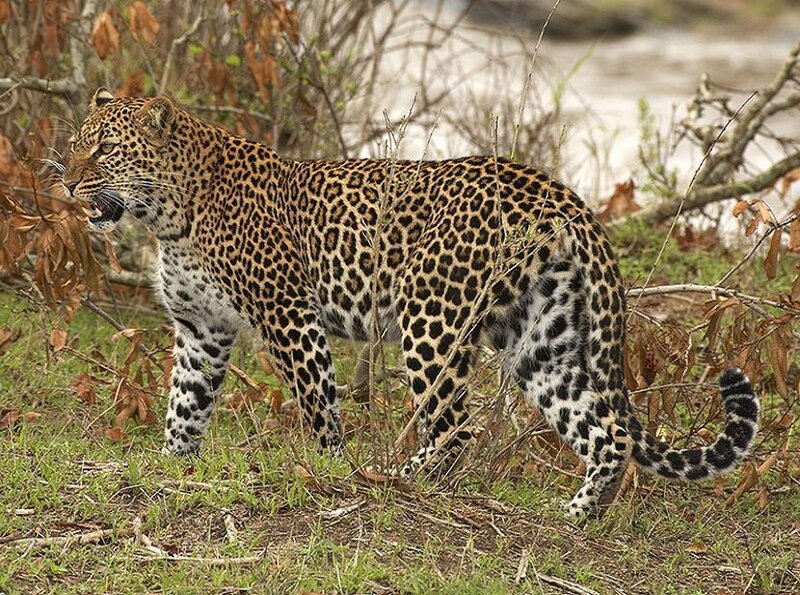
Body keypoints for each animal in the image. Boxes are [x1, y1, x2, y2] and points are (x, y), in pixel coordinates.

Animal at [62, 88, 759, 518]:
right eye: (76, 143)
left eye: (104, 150)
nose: (65, 182)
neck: (167, 215)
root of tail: (560, 192)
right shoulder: (201, 327)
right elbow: (184, 406)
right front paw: (170, 467)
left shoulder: (288, 314)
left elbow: (317, 406)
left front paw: (330, 469)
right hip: (543, 340)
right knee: (604, 429)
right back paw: (579, 517)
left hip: (432, 316)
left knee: (455, 428)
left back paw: (396, 476)